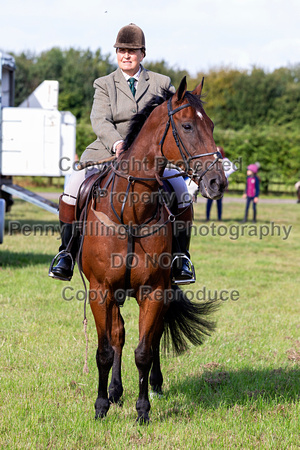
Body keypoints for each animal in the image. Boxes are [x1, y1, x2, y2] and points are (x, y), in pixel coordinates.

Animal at [79, 75, 227, 424]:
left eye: (211, 125)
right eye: (187, 126)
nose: (218, 183)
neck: (131, 211)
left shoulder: (155, 291)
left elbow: (145, 351)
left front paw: (143, 410)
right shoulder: (100, 290)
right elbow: (105, 349)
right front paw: (101, 405)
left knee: (151, 336)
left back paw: (154, 385)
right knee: (117, 334)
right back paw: (115, 391)